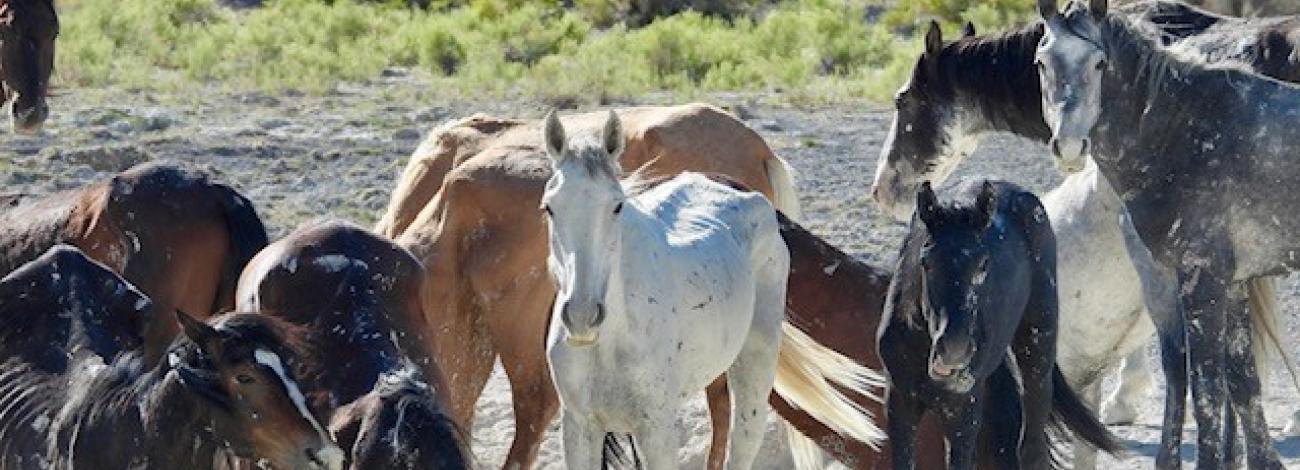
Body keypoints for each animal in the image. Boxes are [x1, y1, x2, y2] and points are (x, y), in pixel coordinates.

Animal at [541, 110, 882, 469]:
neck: (613, 339)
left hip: (755, 370)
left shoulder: (657, 431)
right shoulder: (579, 428)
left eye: (617, 206)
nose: (582, 316)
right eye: (550, 207)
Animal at [879, 181, 1117, 469]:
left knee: (1032, 444)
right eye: (926, 262)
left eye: (983, 264)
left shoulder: (963, 411)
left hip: (1038, 349)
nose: (954, 350)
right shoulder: (900, 401)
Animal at [1036, 0, 1300, 467]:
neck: (1187, 130)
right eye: (1042, 62)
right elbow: (1243, 384)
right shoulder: (1233, 285)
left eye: (1099, 62)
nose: (1068, 146)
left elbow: (1208, 390)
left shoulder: (1201, 282)